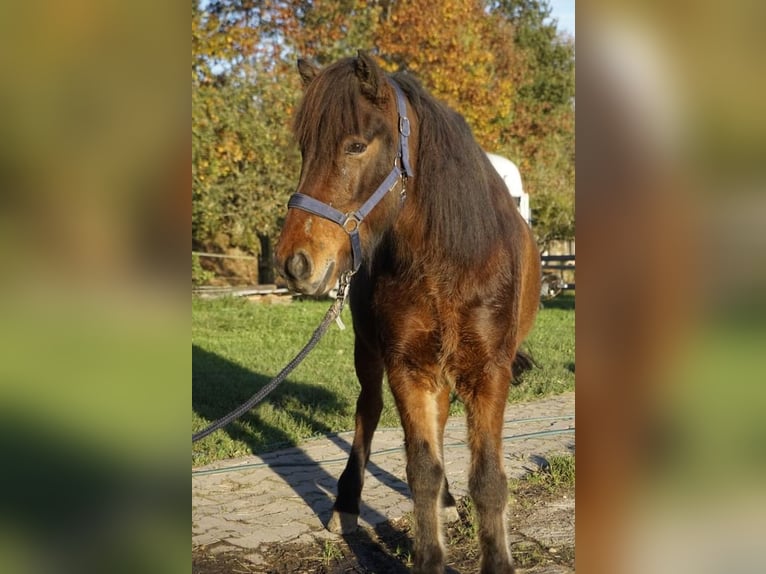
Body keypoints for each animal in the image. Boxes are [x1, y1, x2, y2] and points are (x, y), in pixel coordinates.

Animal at [276, 51, 540, 572]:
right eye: (304, 148)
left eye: (356, 145)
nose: (295, 263)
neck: (449, 261)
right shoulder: (407, 366)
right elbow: (421, 469)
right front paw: (429, 557)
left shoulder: (488, 372)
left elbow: (487, 478)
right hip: (369, 352)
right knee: (368, 411)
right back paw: (347, 503)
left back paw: (448, 502)